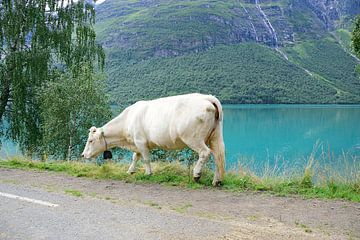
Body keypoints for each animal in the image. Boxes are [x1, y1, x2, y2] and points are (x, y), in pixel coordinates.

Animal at [83, 93, 226, 186]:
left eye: (90, 140)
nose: (83, 154)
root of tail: (207, 97)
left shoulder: (140, 141)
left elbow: (145, 159)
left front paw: (148, 173)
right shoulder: (137, 143)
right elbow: (135, 157)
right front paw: (130, 171)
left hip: (193, 138)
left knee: (205, 153)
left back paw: (196, 175)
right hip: (215, 136)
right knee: (218, 156)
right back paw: (216, 181)